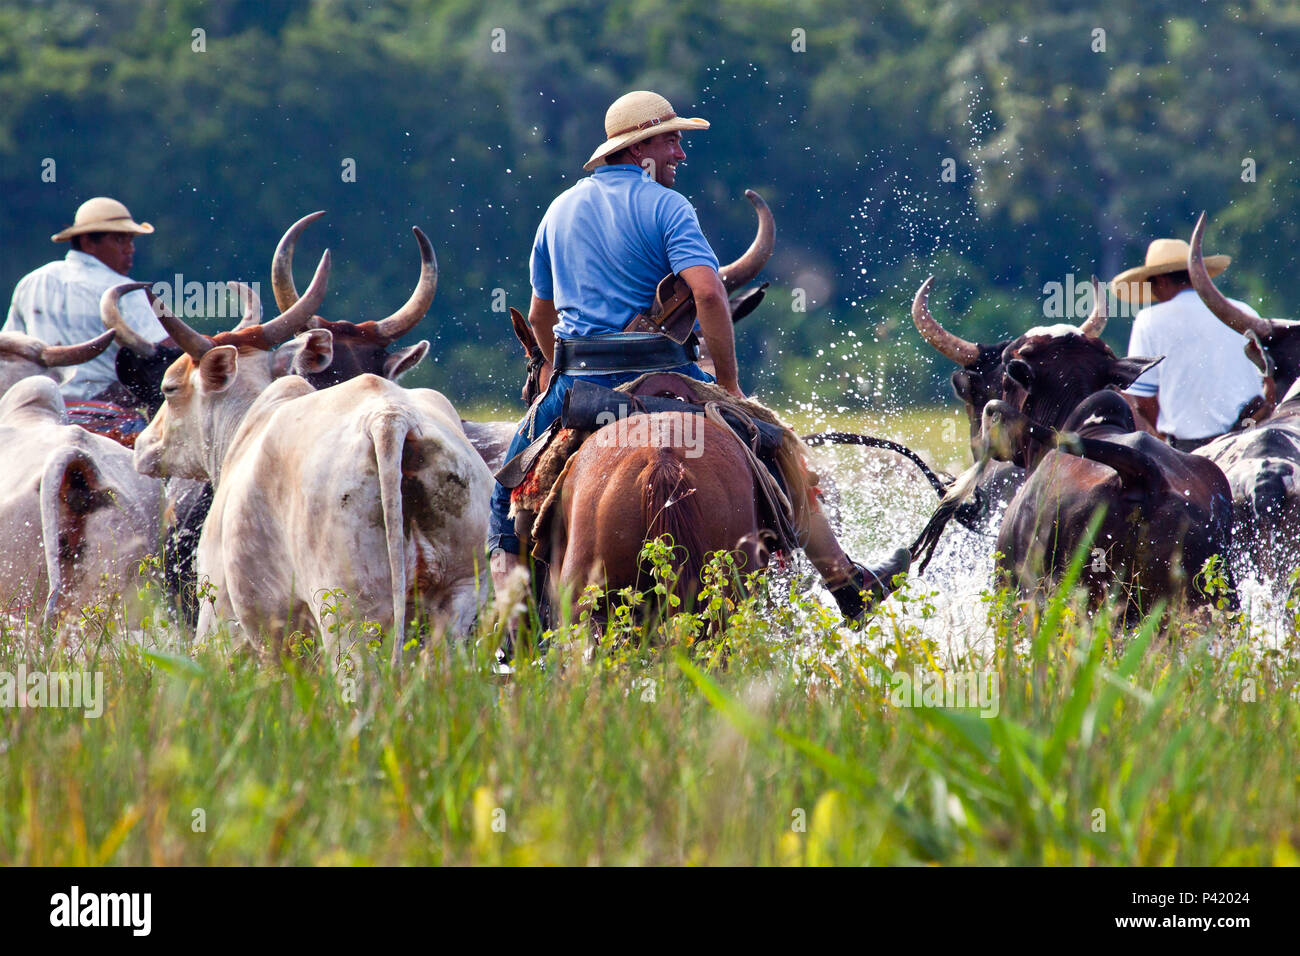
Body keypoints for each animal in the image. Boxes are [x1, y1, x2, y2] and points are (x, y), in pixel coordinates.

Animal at [126, 251, 491, 660]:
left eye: (169, 388)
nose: (143, 446)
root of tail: (391, 419)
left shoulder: (227, 615)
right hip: (459, 597)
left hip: (348, 610)